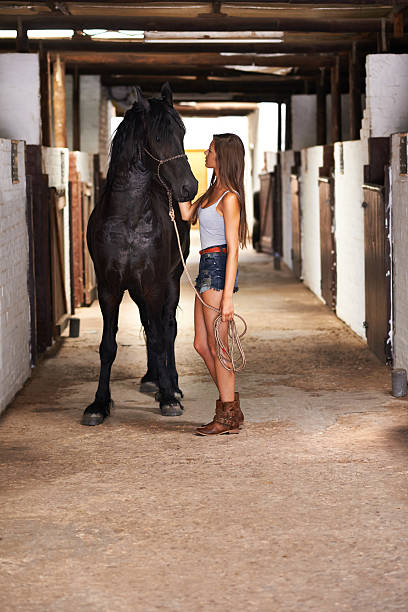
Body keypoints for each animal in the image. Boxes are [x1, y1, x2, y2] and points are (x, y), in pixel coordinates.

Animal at [82, 82, 198, 426]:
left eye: (182, 132)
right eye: (158, 137)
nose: (189, 187)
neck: (128, 220)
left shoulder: (155, 284)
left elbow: (161, 337)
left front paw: (169, 397)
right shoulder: (110, 287)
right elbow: (108, 346)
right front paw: (99, 404)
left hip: (169, 281)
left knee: (167, 328)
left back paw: (170, 384)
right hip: (136, 289)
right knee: (150, 323)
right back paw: (152, 379)